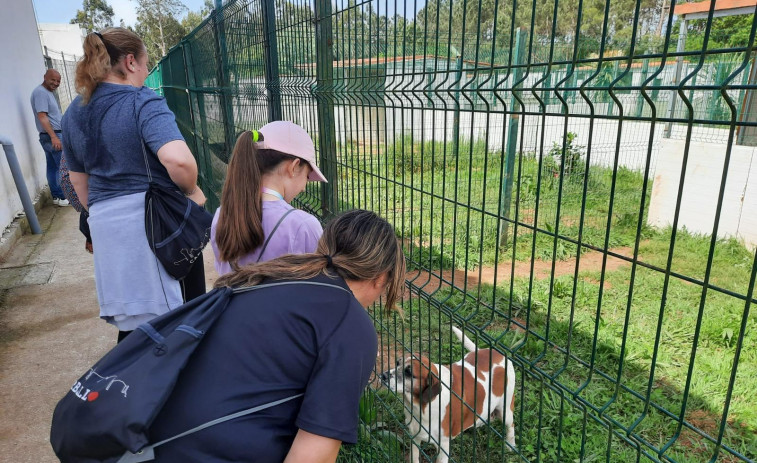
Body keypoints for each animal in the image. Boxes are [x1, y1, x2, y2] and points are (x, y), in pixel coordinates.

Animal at [378, 328, 512, 462]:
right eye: (397, 363)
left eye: (408, 372)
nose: (383, 375)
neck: (423, 406)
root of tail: (497, 353)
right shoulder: (415, 436)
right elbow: (414, 457)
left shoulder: (443, 446)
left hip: (506, 409)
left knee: (511, 426)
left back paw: (511, 445)